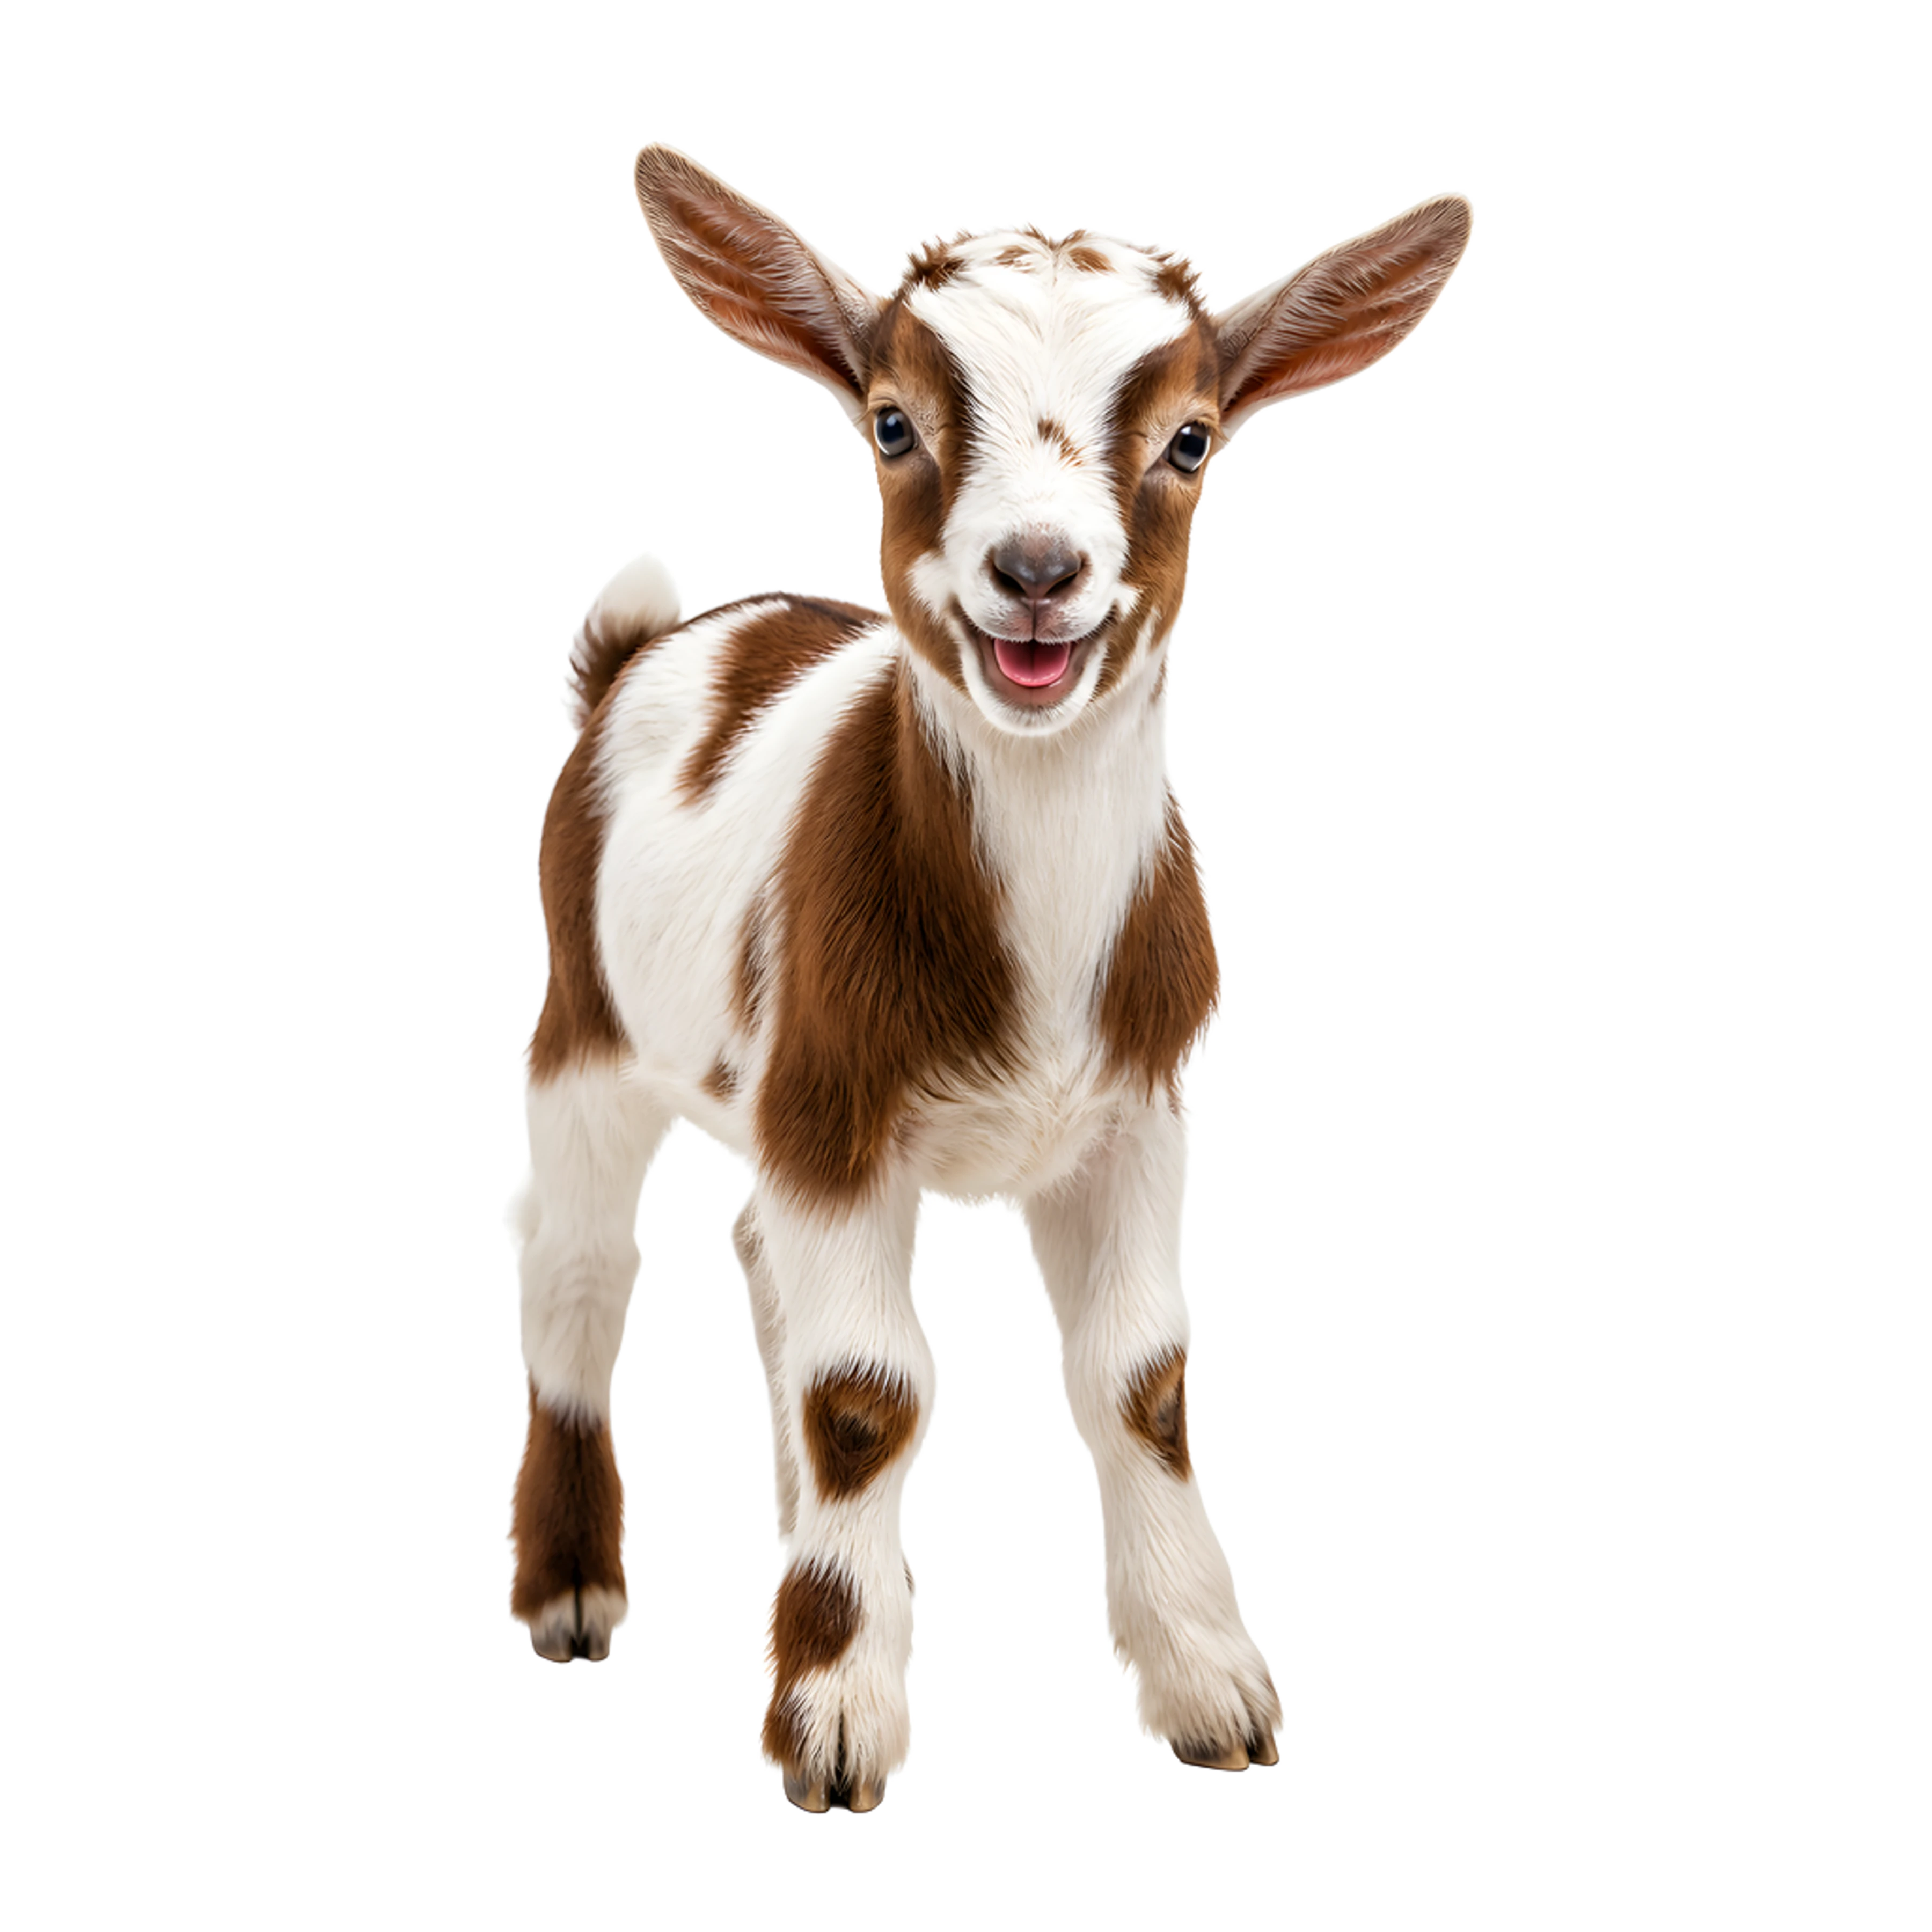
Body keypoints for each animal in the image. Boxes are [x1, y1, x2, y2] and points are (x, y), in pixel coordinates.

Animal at [505, 140, 1473, 1810]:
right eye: (894, 420)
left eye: (1190, 438)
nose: (1036, 570)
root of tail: (646, 650)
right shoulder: (836, 1105)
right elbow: (869, 1395)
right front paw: (835, 1718)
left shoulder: (1141, 1110)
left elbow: (1140, 1378)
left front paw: (1210, 1686)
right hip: (592, 1017)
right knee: (574, 1255)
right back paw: (570, 1588)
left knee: (753, 1254)